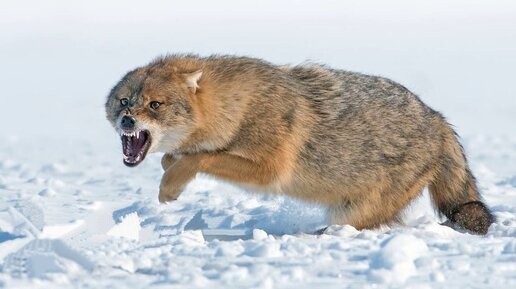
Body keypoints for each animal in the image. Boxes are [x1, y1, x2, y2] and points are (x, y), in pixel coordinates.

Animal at [105, 53, 496, 234]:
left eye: (155, 105)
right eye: (124, 102)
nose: (127, 120)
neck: (237, 107)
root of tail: (439, 120)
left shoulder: (269, 171)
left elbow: (200, 158)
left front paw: (170, 188)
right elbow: (177, 157)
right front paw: (170, 169)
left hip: (350, 214)